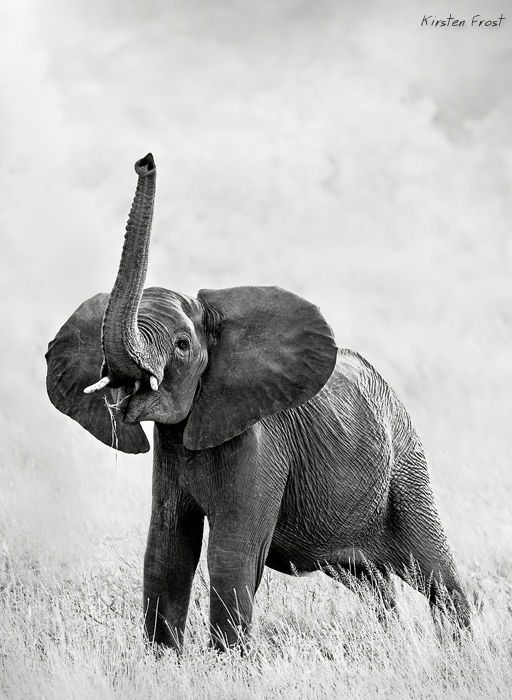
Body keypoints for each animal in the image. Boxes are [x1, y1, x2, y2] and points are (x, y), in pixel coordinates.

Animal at [46, 153, 470, 651]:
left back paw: (460, 650)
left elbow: (231, 552)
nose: (145, 160)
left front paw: (227, 662)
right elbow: (167, 550)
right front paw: (164, 660)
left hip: (405, 464)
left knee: (433, 569)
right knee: (371, 579)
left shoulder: (260, 443)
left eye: (182, 346)